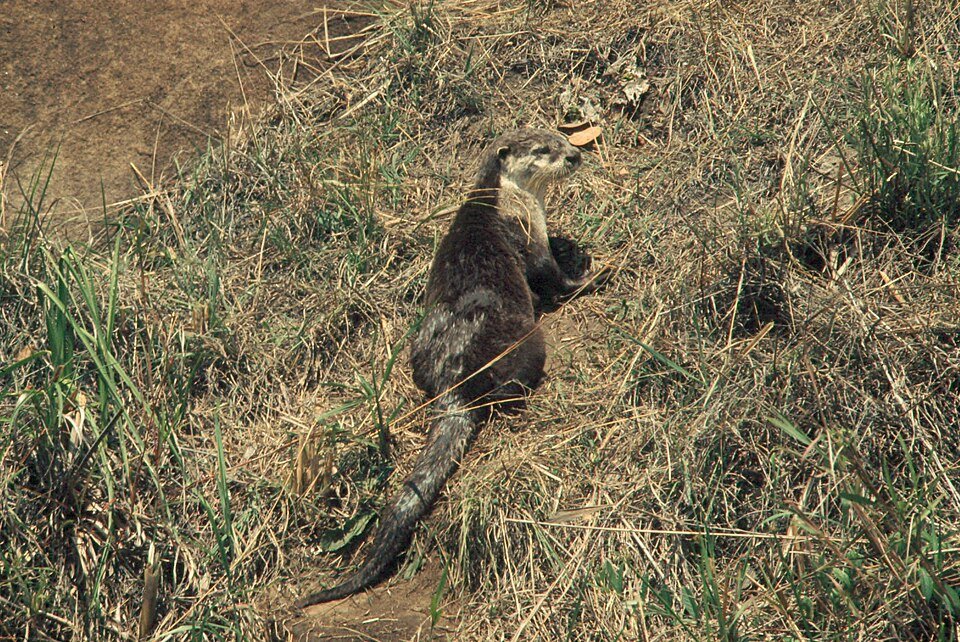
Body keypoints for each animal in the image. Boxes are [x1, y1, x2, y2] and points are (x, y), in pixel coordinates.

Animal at [296, 128, 607, 608]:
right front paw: (596, 273)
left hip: (419, 346)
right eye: (544, 151)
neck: (501, 197)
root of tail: (453, 380)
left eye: (560, 136)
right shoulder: (528, 233)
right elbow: (551, 278)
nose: (575, 155)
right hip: (524, 341)